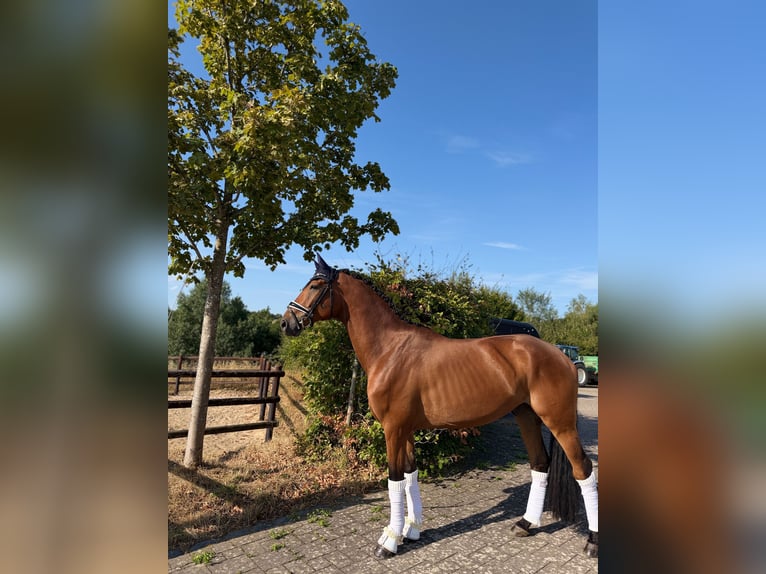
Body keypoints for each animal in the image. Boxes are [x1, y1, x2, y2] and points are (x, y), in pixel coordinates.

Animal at [281, 255, 598, 559]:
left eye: (314, 286)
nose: (286, 323)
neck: (390, 349)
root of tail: (562, 356)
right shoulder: (405, 429)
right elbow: (410, 476)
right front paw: (410, 530)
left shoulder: (392, 429)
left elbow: (394, 480)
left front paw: (389, 542)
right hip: (527, 416)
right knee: (540, 464)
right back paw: (525, 524)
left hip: (560, 422)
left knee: (583, 469)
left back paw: (592, 543)